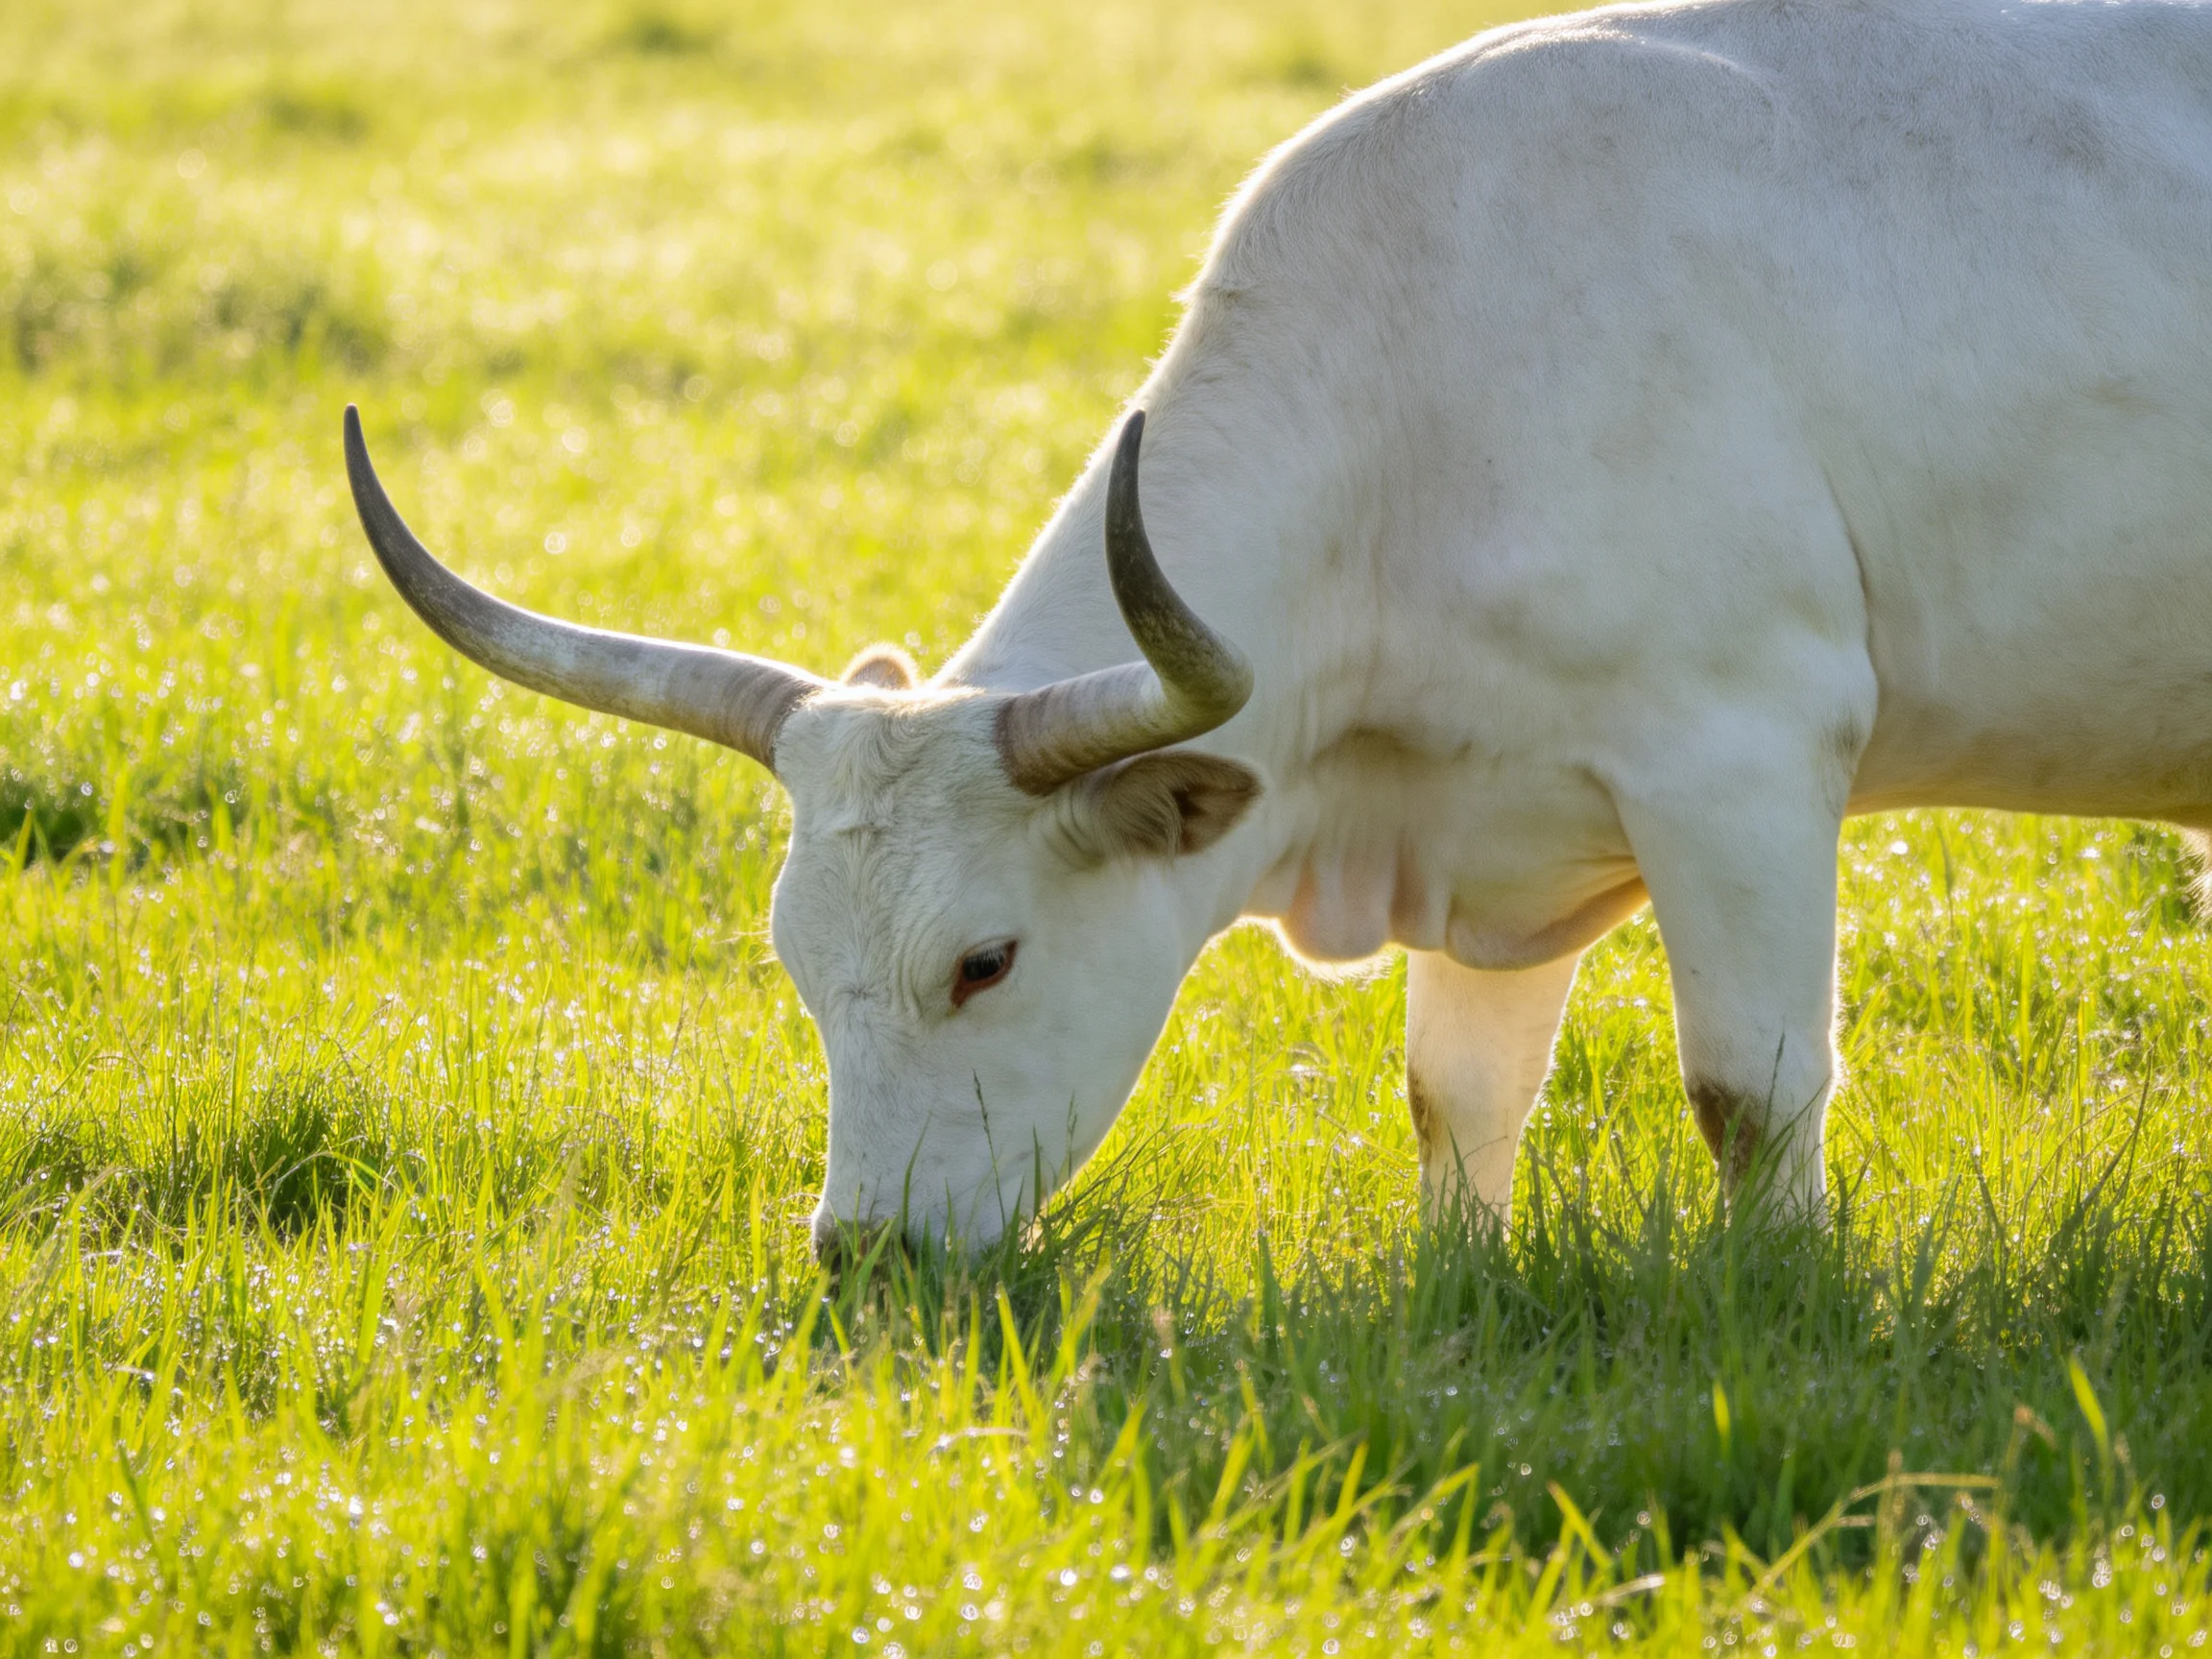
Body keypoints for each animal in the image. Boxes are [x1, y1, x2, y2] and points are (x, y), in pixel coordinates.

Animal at [346, 0, 2212, 1259]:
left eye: (984, 961)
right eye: (798, 965)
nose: (862, 1251)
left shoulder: (1739, 753)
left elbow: (1748, 1090)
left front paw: (1783, 1296)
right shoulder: (1501, 831)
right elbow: (1458, 1095)